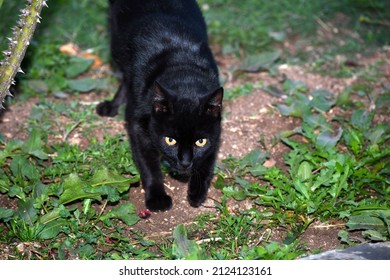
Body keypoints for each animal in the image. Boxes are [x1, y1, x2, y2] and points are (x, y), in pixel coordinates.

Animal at [96, 0, 222, 210]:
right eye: (170, 140)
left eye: (200, 141)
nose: (185, 162)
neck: (181, 66)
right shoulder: (138, 126)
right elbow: (149, 165)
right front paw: (157, 198)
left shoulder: (216, 130)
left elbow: (209, 159)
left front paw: (197, 191)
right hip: (117, 49)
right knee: (124, 77)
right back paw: (112, 106)